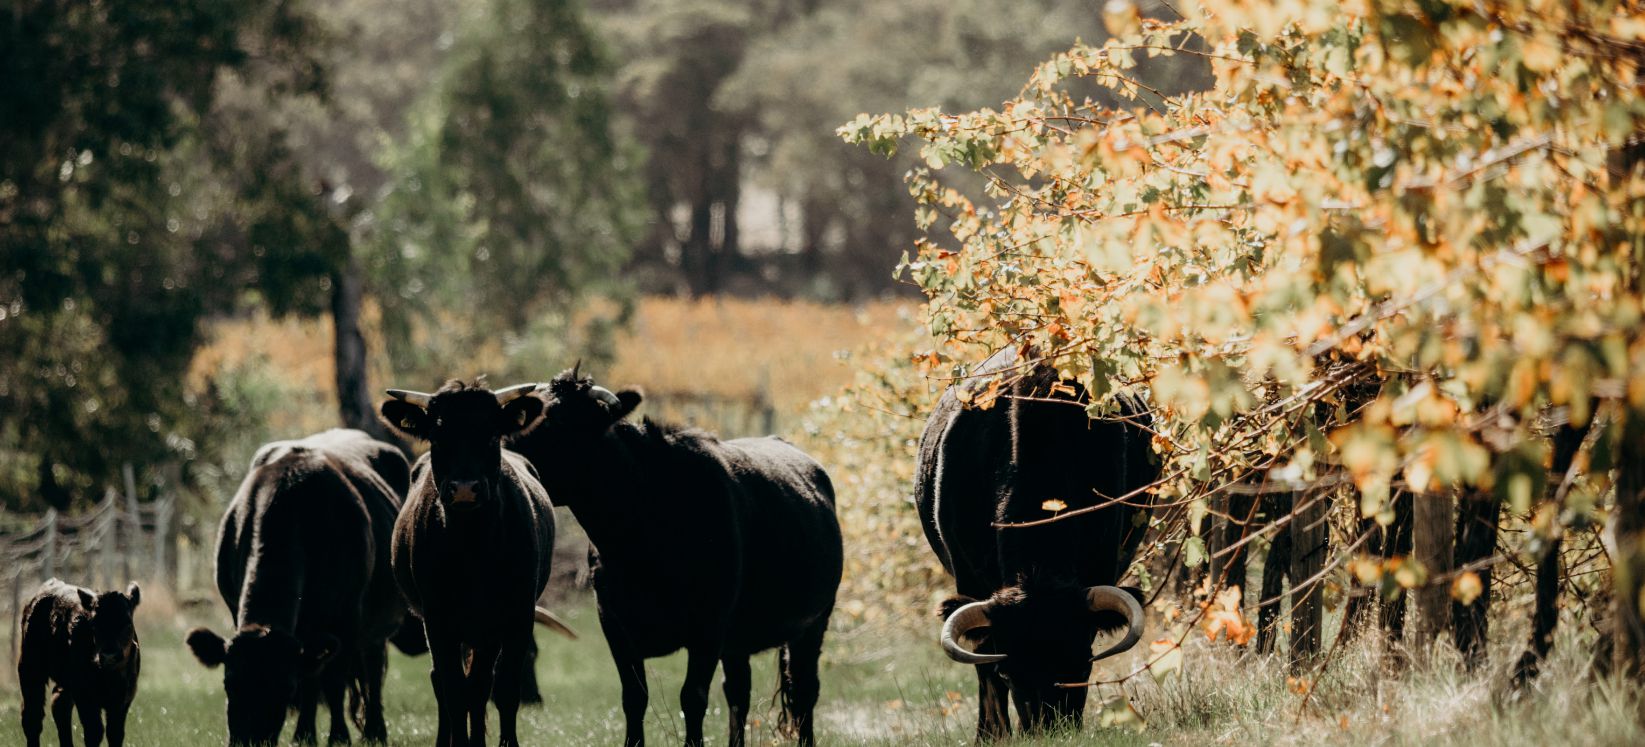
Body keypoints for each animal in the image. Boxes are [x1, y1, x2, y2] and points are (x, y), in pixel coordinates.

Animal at [188, 427, 411, 743]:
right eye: (229, 683)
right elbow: (312, 682)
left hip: (377, 626)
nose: (250, 741)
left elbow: (332, 681)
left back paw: (374, 732)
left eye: (285, 687)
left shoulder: (346, 619)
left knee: (373, 670)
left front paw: (337, 737)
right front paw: (304, 736)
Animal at [378, 381, 565, 743]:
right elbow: (454, 690)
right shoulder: (437, 619)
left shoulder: (513, 615)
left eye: (492, 435)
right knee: (443, 681)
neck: (472, 549)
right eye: (437, 437)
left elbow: (496, 688)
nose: (464, 489)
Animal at [509, 366, 848, 747]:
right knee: (739, 692)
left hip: (814, 622)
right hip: (739, 640)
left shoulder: (708, 626)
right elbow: (634, 697)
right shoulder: (614, 623)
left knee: (804, 690)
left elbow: (692, 698)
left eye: (558, 420)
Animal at [914, 347, 1158, 737]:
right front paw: (991, 733)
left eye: (1083, 665)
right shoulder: (969, 581)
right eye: (1009, 674)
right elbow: (983, 663)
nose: (1050, 729)